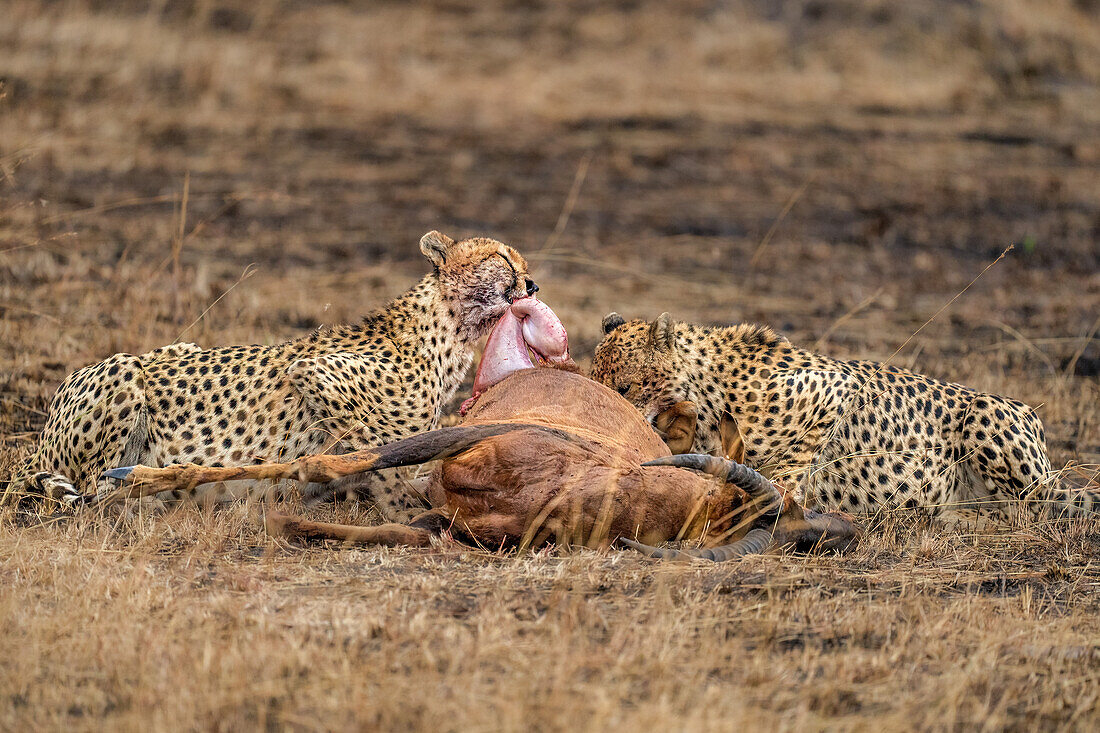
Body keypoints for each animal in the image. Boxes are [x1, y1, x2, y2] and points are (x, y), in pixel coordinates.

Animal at [8, 231, 541, 517]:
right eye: (501, 258)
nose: (533, 283)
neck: (447, 331)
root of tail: (38, 437)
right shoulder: (314, 373)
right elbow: (385, 453)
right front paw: (407, 505)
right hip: (122, 371)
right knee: (94, 489)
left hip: (178, 345)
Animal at [598, 310, 1095, 521]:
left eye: (625, 386)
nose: (612, 409)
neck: (704, 387)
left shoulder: (838, 385)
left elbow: (792, 459)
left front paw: (782, 493)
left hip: (988, 422)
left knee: (1033, 507)